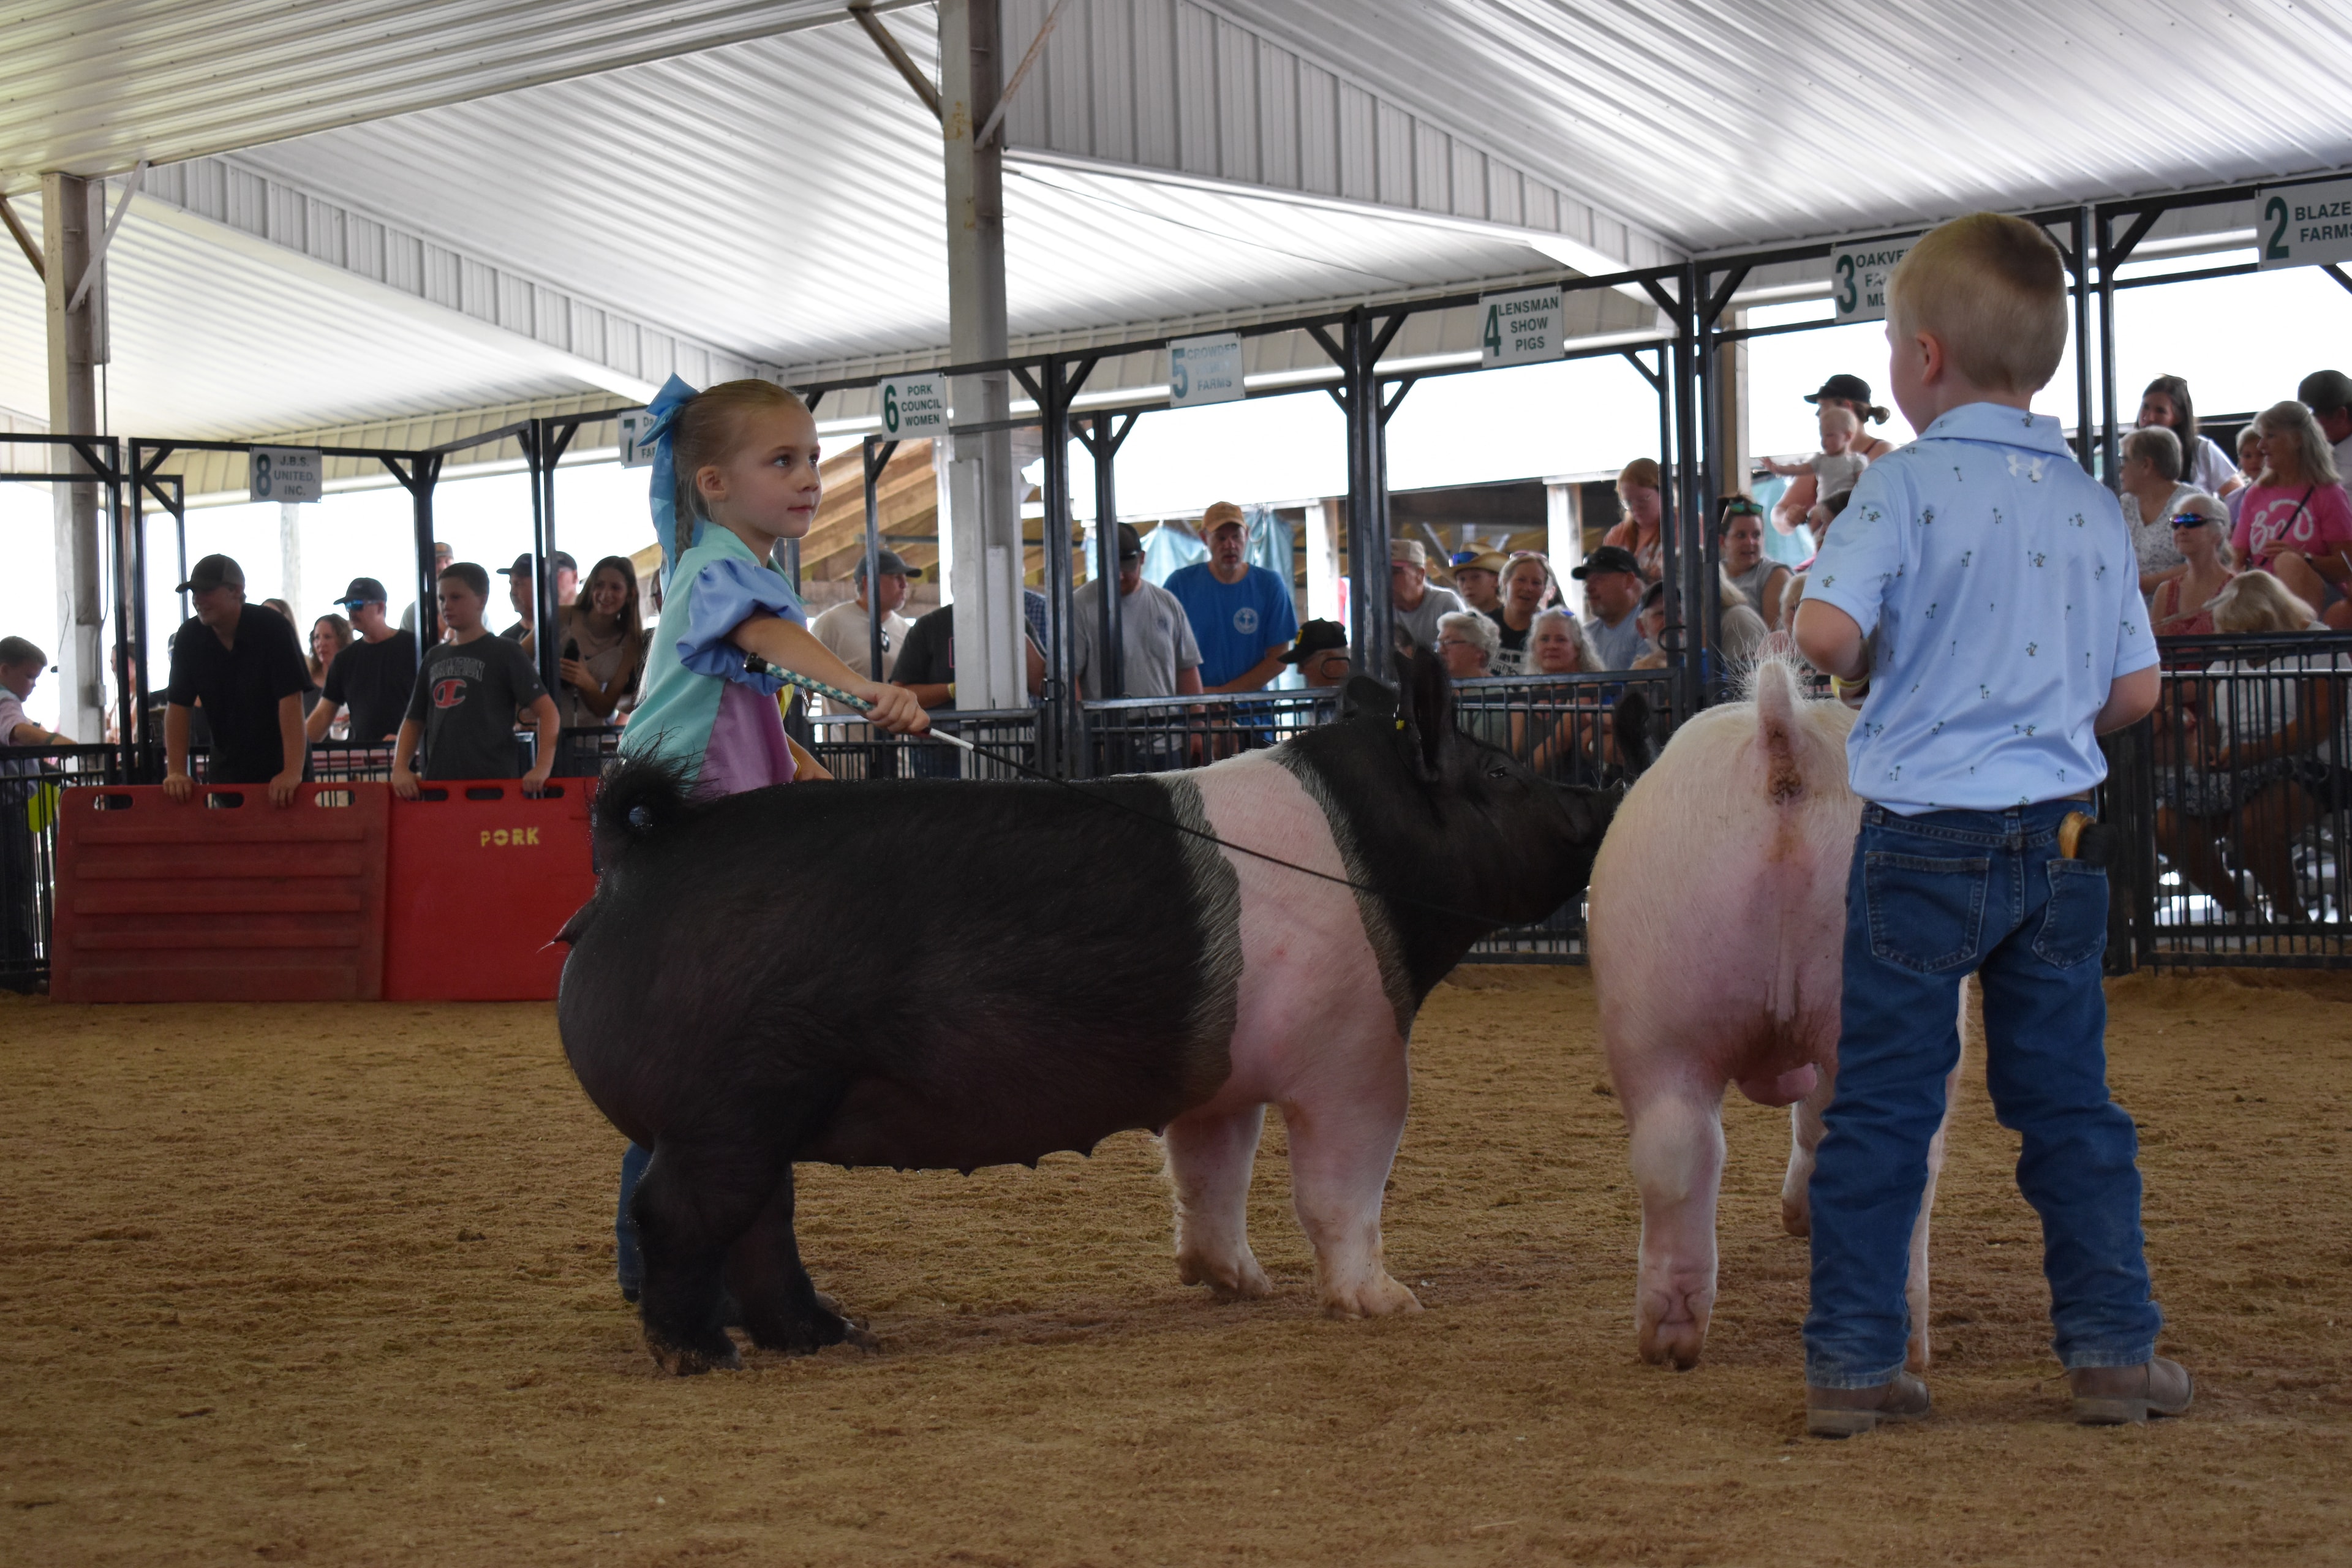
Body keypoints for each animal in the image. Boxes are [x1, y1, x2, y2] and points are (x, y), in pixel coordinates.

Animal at [557, 650, 1619, 1373]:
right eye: (1502, 777)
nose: (1599, 802)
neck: (1371, 853)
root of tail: (639, 853)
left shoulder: (1218, 1078)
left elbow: (1209, 1177)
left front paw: (1239, 1285)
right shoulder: (1355, 1053)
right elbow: (1341, 1190)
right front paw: (1393, 1305)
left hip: (757, 1118)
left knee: (759, 1224)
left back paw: (832, 1336)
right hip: (725, 1112)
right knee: (678, 1214)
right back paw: (702, 1355)